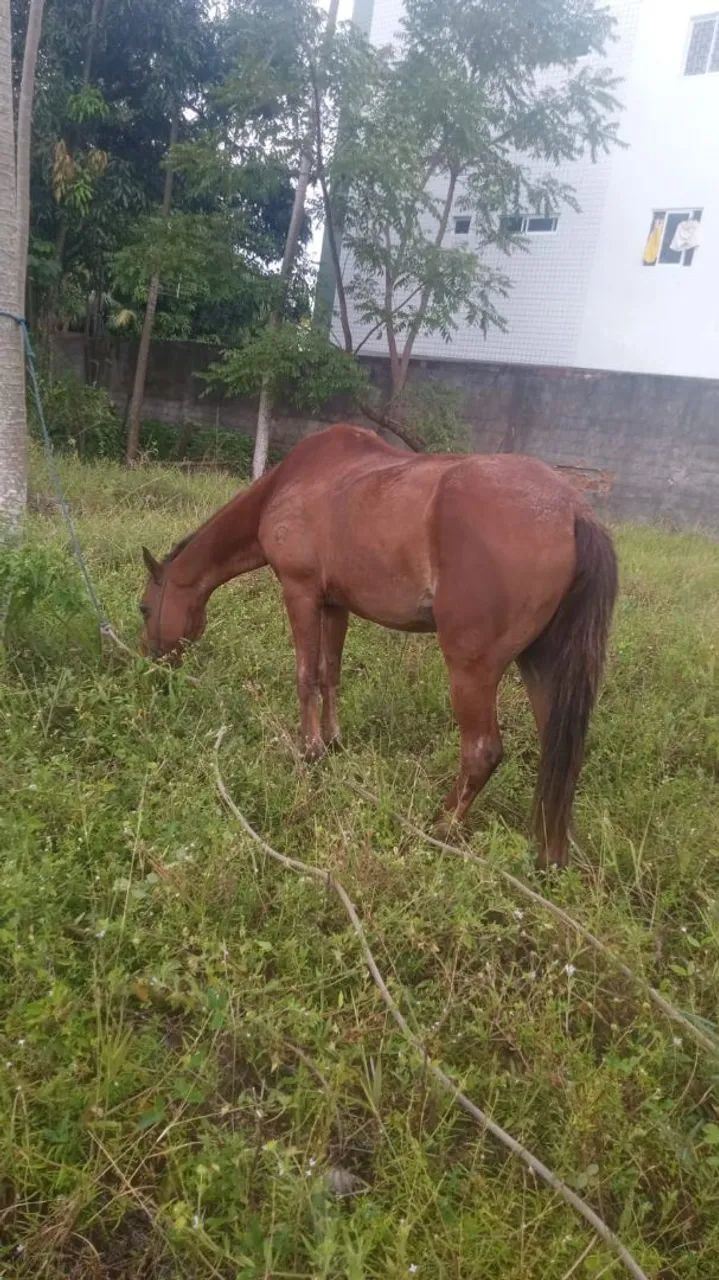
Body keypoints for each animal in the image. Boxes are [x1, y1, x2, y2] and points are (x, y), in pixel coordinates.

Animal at [139, 423, 617, 866]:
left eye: (145, 608)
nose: (150, 664)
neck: (291, 482)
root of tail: (573, 512)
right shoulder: (335, 605)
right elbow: (329, 674)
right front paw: (332, 742)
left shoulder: (300, 592)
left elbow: (305, 675)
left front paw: (309, 751)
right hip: (540, 664)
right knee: (560, 754)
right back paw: (551, 853)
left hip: (472, 669)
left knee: (482, 751)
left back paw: (439, 828)